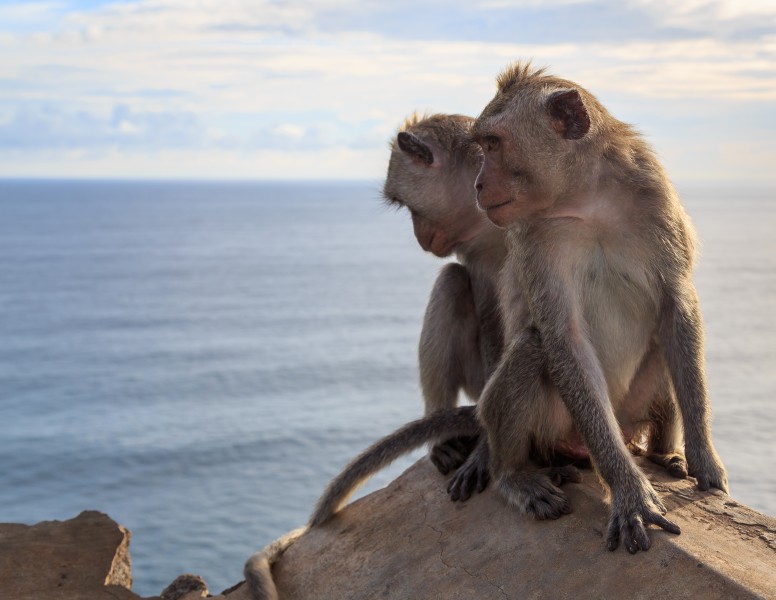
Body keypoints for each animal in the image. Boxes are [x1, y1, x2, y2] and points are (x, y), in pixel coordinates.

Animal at [382, 113, 508, 476]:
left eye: (406, 205)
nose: (419, 237)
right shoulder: (476, 249)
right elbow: (490, 312)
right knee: (451, 281)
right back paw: (443, 438)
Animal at [447, 61, 728, 553]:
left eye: (493, 144)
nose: (479, 185)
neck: (588, 199)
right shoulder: (535, 234)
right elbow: (563, 336)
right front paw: (629, 491)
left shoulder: (654, 195)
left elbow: (677, 308)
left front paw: (703, 458)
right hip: (559, 426)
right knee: (532, 348)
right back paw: (514, 473)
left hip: (629, 410)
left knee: (664, 344)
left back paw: (662, 455)